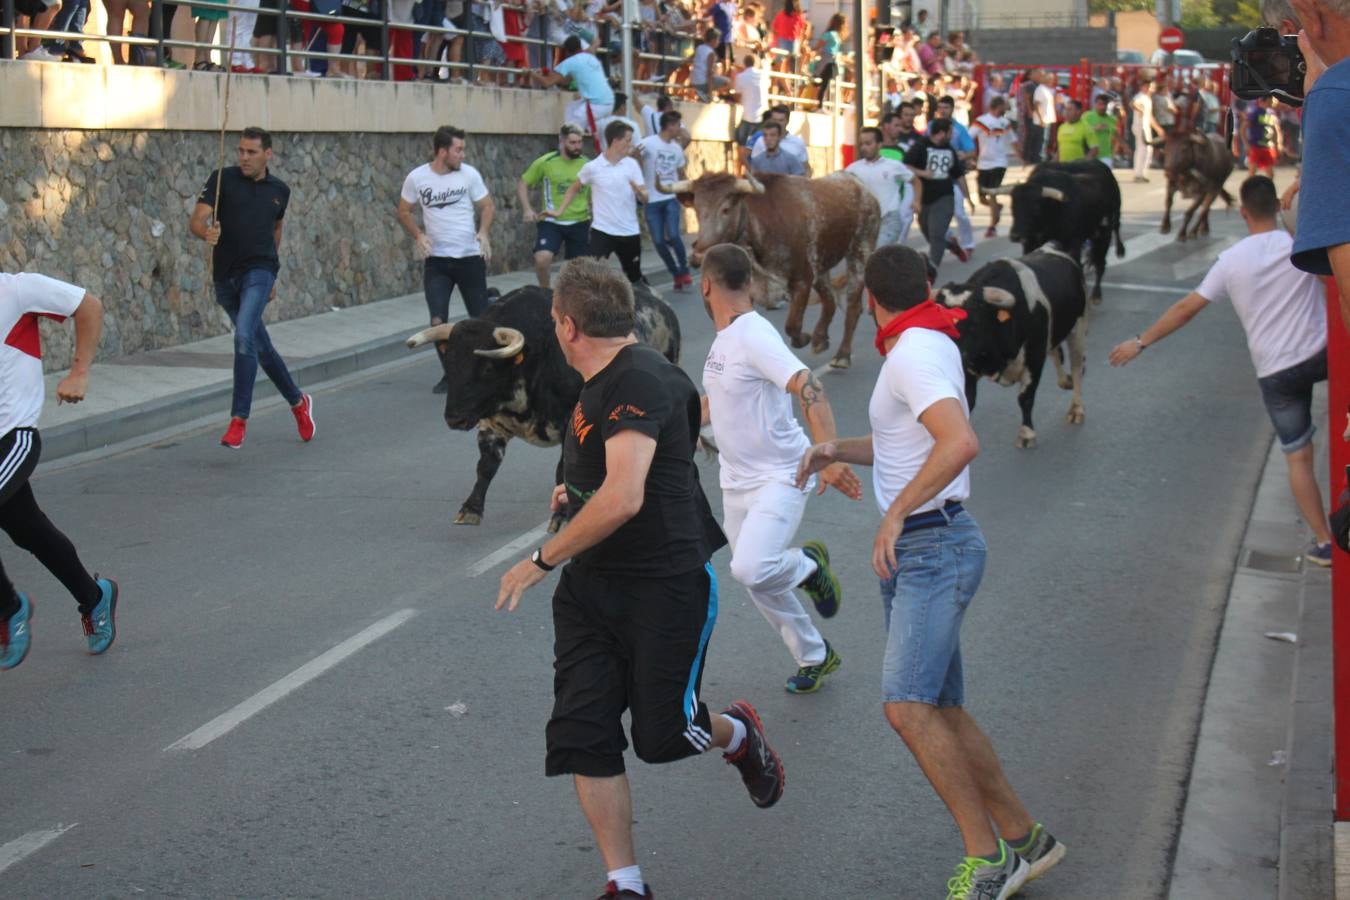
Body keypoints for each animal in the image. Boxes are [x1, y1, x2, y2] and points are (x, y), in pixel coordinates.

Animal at [396, 284, 675, 531]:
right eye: (450, 363)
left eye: (487, 368)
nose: (454, 419)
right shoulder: (492, 424)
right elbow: (486, 465)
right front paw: (470, 509)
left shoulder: (569, 423)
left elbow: (563, 469)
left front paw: (561, 516)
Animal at [661, 170, 874, 367]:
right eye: (697, 210)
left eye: (726, 209)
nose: (698, 256)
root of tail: (859, 184)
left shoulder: (802, 280)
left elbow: (792, 325)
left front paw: (804, 337)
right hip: (821, 266)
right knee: (829, 299)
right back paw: (820, 340)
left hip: (860, 251)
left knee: (853, 306)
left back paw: (842, 355)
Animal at [939, 246, 1085, 447]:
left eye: (974, 323)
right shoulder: (968, 368)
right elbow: (967, 399)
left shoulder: (1034, 358)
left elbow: (1025, 397)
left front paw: (1026, 434)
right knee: (1057, 353)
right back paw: (1065, 381)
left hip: (1077, 326)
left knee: (1077, 365)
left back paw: (1076, 409)